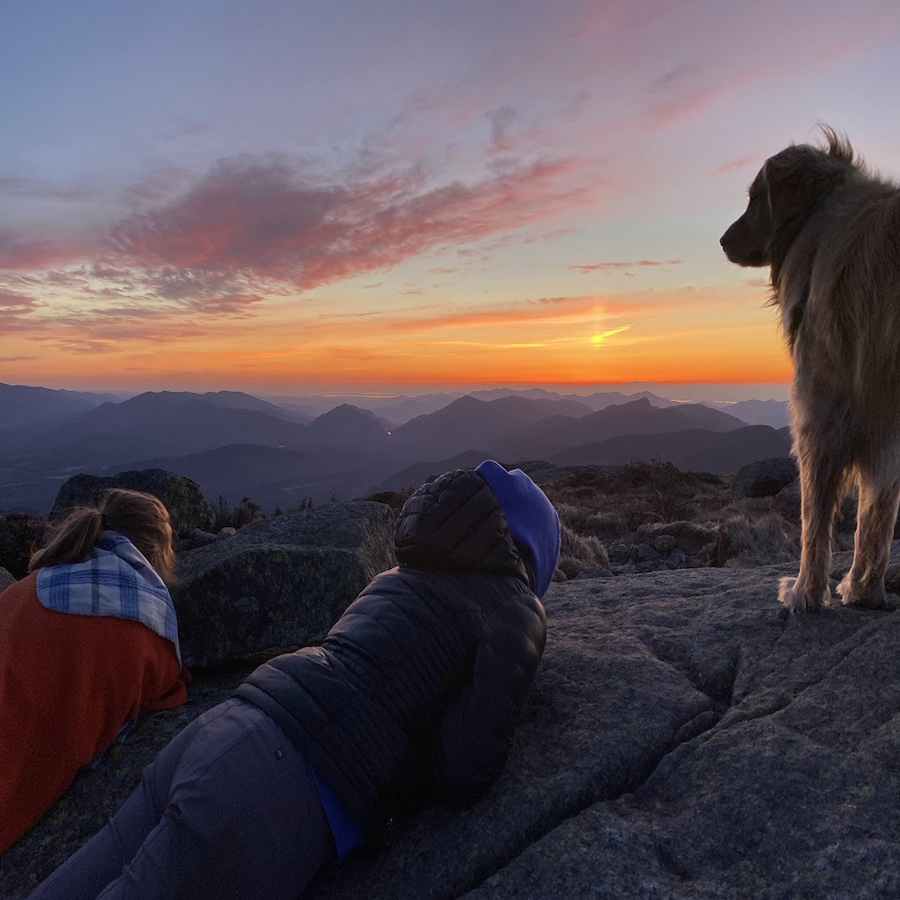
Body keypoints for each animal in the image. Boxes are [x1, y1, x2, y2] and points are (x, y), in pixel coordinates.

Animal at [720, 128, 900, 612]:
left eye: (755, 197)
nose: (722, 240)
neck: (816, 226)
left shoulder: (822, 407)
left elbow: (814, 518)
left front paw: (805, 592)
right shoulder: (883, 419)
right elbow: (877, 513)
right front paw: (865, 589)